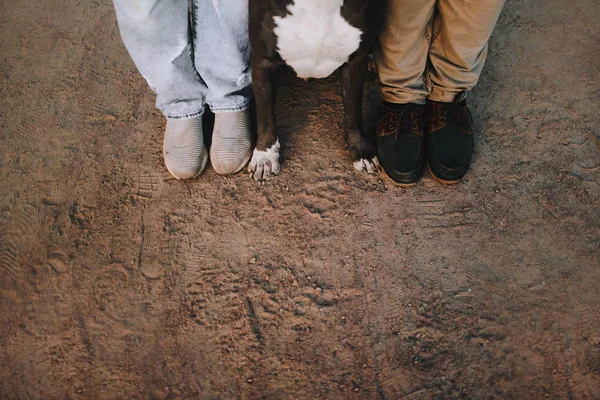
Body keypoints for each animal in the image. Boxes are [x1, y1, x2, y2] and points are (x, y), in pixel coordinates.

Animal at [247, 0, 384, 180]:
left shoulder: (356, 60)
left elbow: (353, 113)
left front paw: (361, 149)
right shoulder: (263, 62)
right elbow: (265, 115)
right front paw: (265, 155)